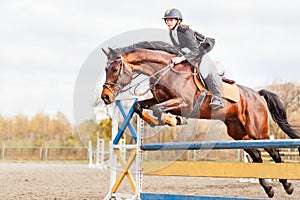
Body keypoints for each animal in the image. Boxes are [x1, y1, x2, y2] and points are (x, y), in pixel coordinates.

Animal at [99, 40, 298, 197]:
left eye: (114, 69)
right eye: (106, 69)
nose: (106, 97)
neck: (165, 71)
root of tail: (257, 94)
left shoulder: (184, 103)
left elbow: (157, 109)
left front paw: (172, 120)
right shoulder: (158, 99)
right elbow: (139, 106)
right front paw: (158, 121)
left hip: (257, 131)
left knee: (274, 152)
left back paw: (287, 185)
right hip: (239, 134)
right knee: (257, 157)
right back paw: (269, 189)